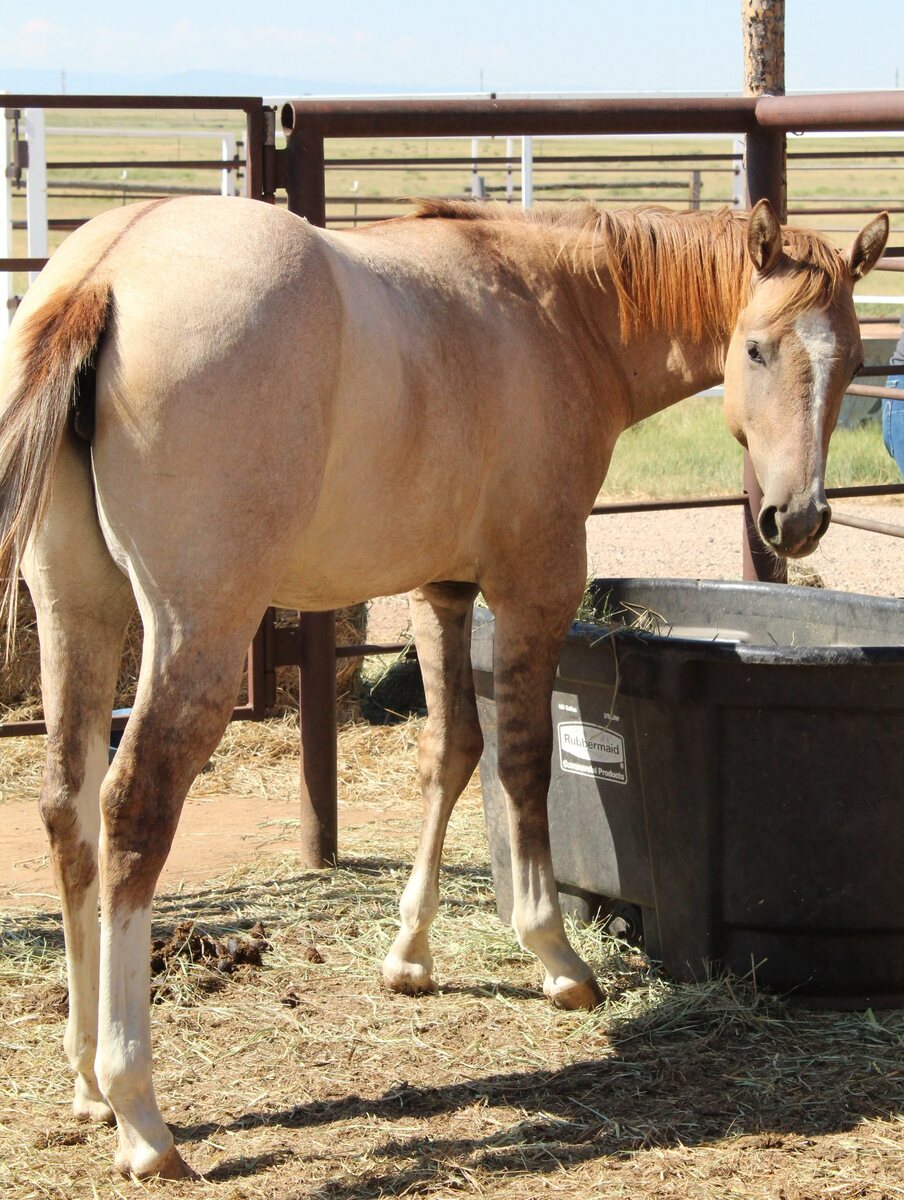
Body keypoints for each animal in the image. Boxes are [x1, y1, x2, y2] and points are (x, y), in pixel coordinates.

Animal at [0, 193, 887, 1179]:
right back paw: (140, 1115)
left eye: (854, 361)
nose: (797, 520)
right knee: (132, 813)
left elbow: (450, 752)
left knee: (67, 810)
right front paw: (555, 954)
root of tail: (107, 270)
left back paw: (86, 1081)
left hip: (78, 610)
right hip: (195, 631)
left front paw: (409, 954)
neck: (553, 308)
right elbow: (523, 761)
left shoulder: (441, 591)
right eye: (757, 349)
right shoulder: (537, 581)